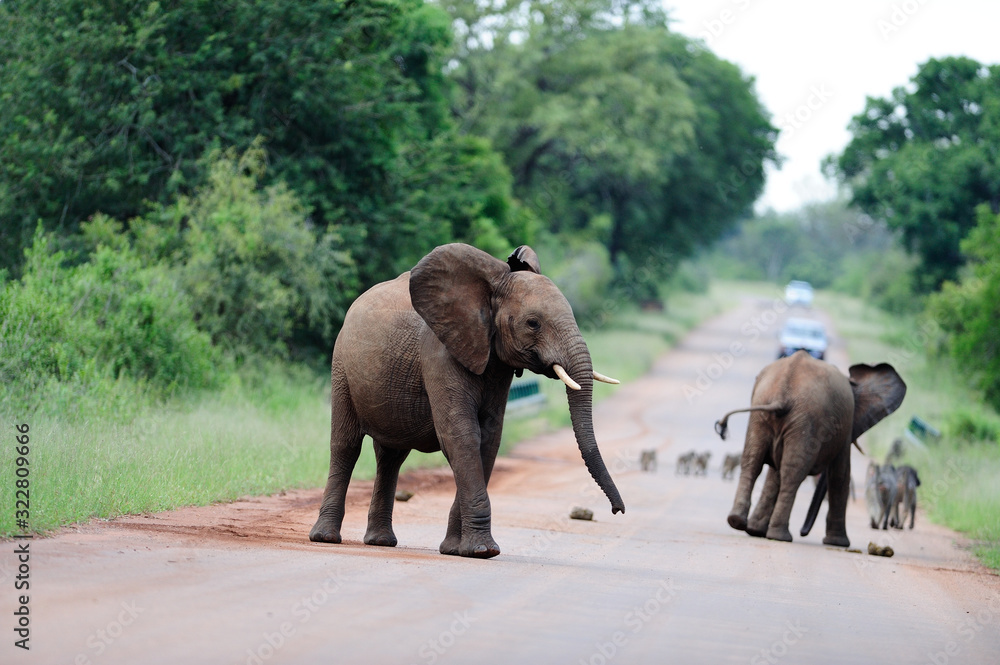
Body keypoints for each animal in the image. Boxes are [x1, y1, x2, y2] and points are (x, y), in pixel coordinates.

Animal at [309, 243, 625, 559]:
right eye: (533, 323)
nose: (617, 511)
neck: (490, 289)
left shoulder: (497, 366)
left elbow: (488, 439)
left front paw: (454, 549)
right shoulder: (439, 353)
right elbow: (461, 435)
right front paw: (484, 550)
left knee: (390, 455)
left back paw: (380, 541)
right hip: (341, 366)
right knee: (346, 445)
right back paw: (326, 537)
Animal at [713, 351, 906, 547]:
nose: (803, 532)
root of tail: (784, 390)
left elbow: (775, 473)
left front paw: (755, 531)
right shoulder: (846, 425)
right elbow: (840, 474)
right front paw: (838, 543)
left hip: (764, 414)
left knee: (753, 463)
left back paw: (738, 521)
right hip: (805, 420)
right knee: (792, 473)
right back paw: (781, 536)